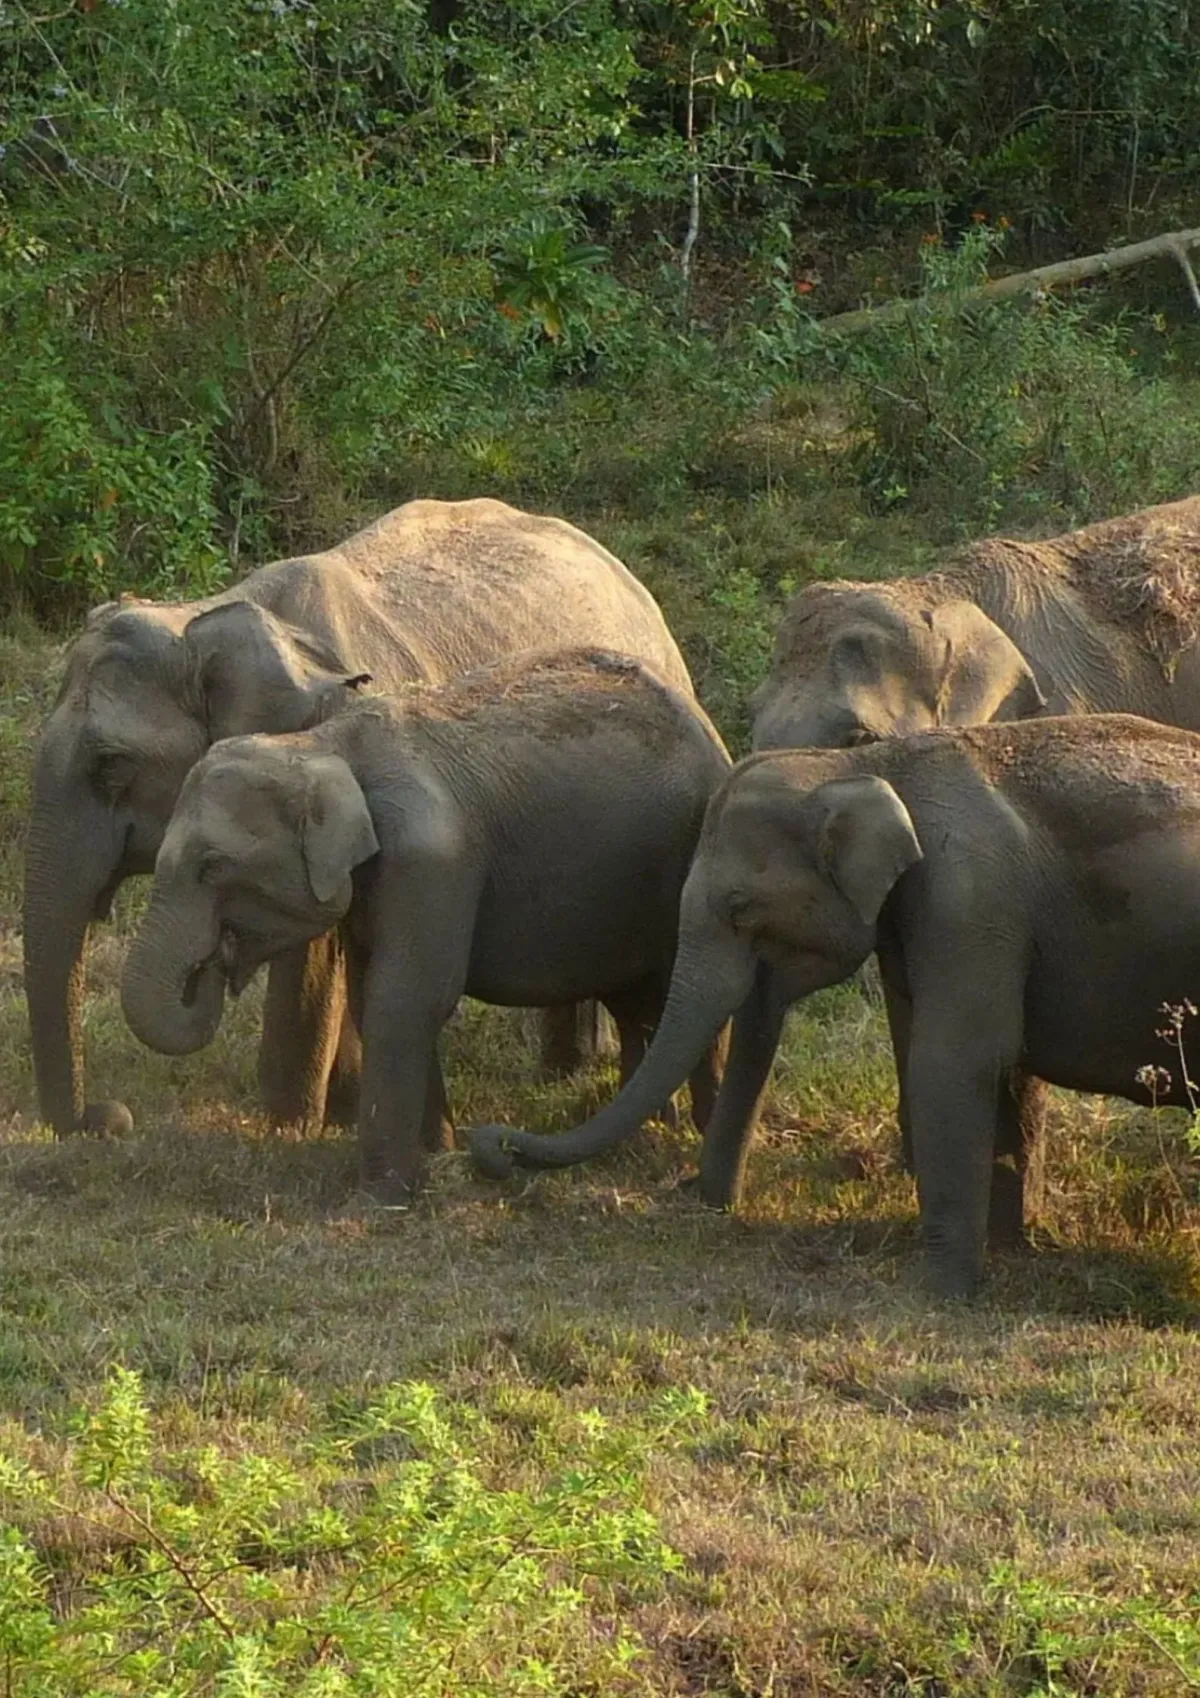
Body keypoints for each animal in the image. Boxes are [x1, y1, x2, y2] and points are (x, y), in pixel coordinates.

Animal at [24, 497, 694, 1138]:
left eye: (110, 765)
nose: (106, 1118)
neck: (212, 614)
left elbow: (315, 952)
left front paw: (288, 1129)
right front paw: (340, 1116)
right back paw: (564, 1071)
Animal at [119, 648, 731, 1198]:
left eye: (212, 867)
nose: (214, 961)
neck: (325, 746)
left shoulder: (431, 863)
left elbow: (408, 998)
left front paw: (381, 1196)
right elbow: (372, 994)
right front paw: (436, 1153)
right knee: (638, 1006)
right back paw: (648, 1140)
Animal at [470, 713, 1200, 1298]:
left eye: (740, 908)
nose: (493, 1149)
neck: (866, 763)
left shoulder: (969, 899)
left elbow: (954, 1061)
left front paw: (940, 1293)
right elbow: (1003, 1062)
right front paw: (1007, 1252)